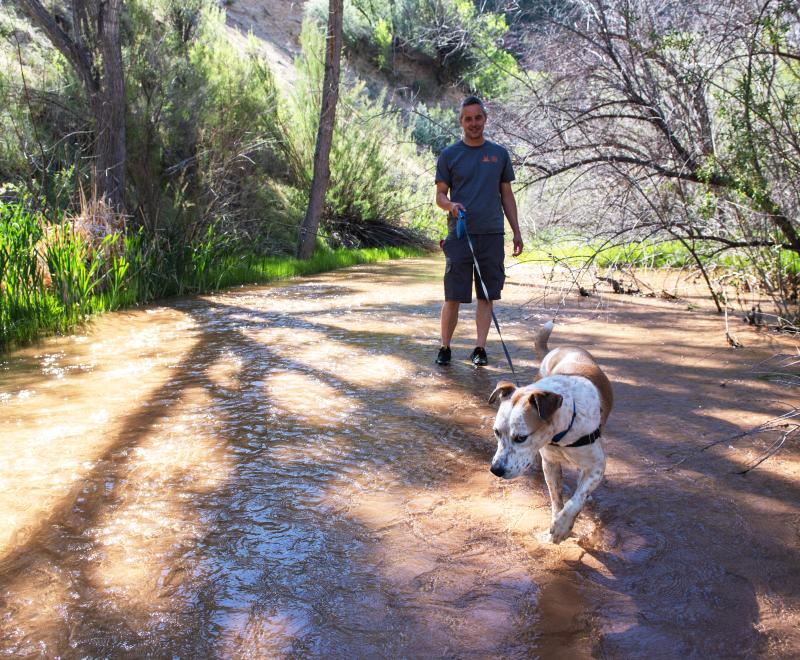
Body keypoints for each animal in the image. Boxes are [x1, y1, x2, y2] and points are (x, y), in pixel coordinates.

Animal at [488, 322, 612, 544]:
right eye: (496, 432)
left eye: (521, 438)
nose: (496, 470)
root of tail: (559, 349)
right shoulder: (551, 462)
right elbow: (556, 498)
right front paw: (557, 521)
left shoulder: (598, 465)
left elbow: (576, 499)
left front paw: (563, 526)